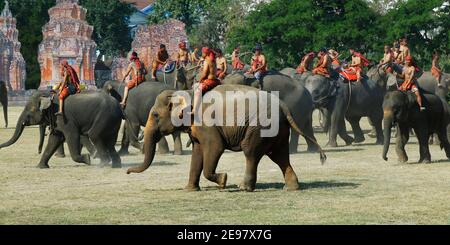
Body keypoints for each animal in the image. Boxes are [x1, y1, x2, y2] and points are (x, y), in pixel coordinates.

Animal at [126, 84, 326, 191]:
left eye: (155, 115)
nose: (127, 172)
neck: (187, 92)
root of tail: (283, 106)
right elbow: (197, 153)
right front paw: (190, 189)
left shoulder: (206, 124)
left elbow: (215, 147)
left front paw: (223, 181)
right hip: (279, 130)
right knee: (280, 156)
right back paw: (291, 188)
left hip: (261, 126)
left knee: (251, 152)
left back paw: (243, 187)